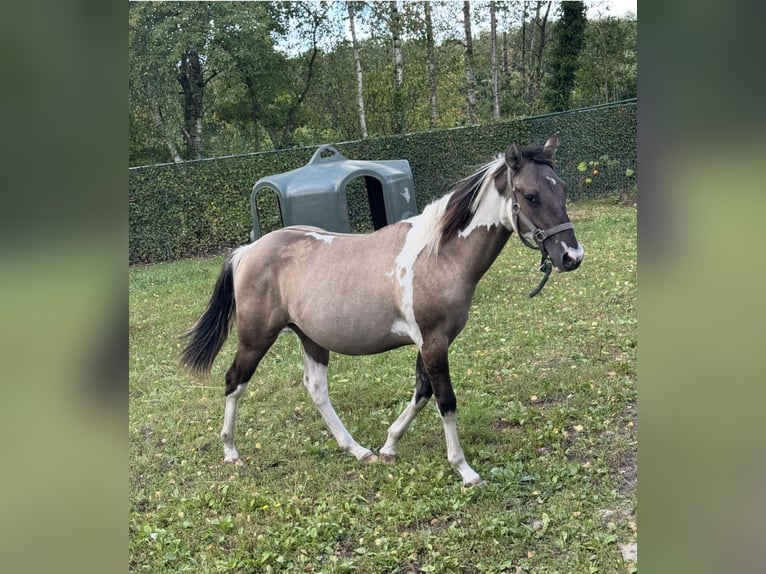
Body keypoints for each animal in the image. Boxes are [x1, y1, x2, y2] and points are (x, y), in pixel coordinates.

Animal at [180, 133, 583, 485]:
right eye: (531, 196)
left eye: (562, 188)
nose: (571, 256)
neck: (439, 255)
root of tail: (248, 250)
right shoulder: (433, 341)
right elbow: (445, 400)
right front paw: (464, 469)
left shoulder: (432, 343)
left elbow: (422, 393)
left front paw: (388, 446)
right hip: (256, 336)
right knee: (234, 381)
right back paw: (231, 451)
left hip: (311, 338)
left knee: (316, 389)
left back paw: (357, 450)